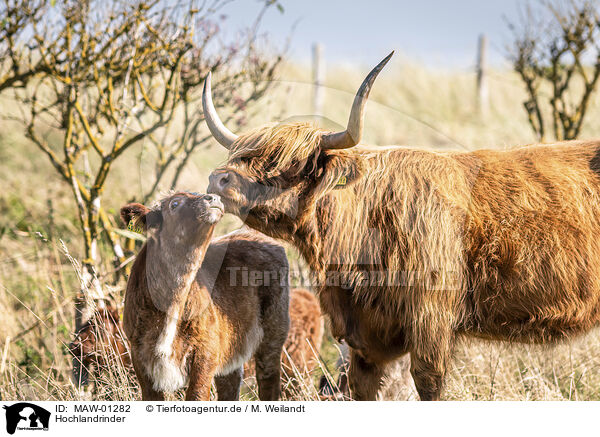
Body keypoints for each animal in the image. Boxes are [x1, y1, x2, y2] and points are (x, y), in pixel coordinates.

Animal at [120, 192, 290, 400]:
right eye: (174, 203)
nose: (213, 198)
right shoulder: (139, 356)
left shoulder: (206, 350)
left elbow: (197, 395)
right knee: (230, 384)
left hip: (275, 329)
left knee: (269, 377)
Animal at [203, 52, 600, 400]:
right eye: (241, 155)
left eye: (290, 165)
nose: (219, 179)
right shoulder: (363, 338)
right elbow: (362, 389)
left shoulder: (430, 322)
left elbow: (427, 384)